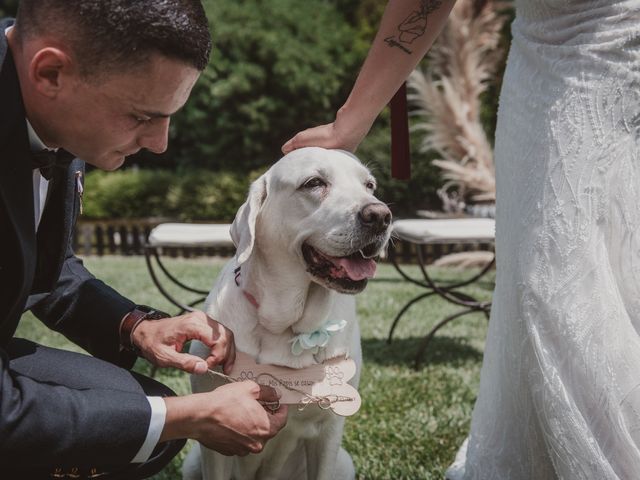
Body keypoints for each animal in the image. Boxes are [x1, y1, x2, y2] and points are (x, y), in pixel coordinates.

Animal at [182, 147, 392, 480]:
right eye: (314, 183)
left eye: (369, 186)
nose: (381, 215)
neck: (287, 327)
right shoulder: (214, 432)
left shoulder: (330, 430)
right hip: (192, 462)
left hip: (344, 463)